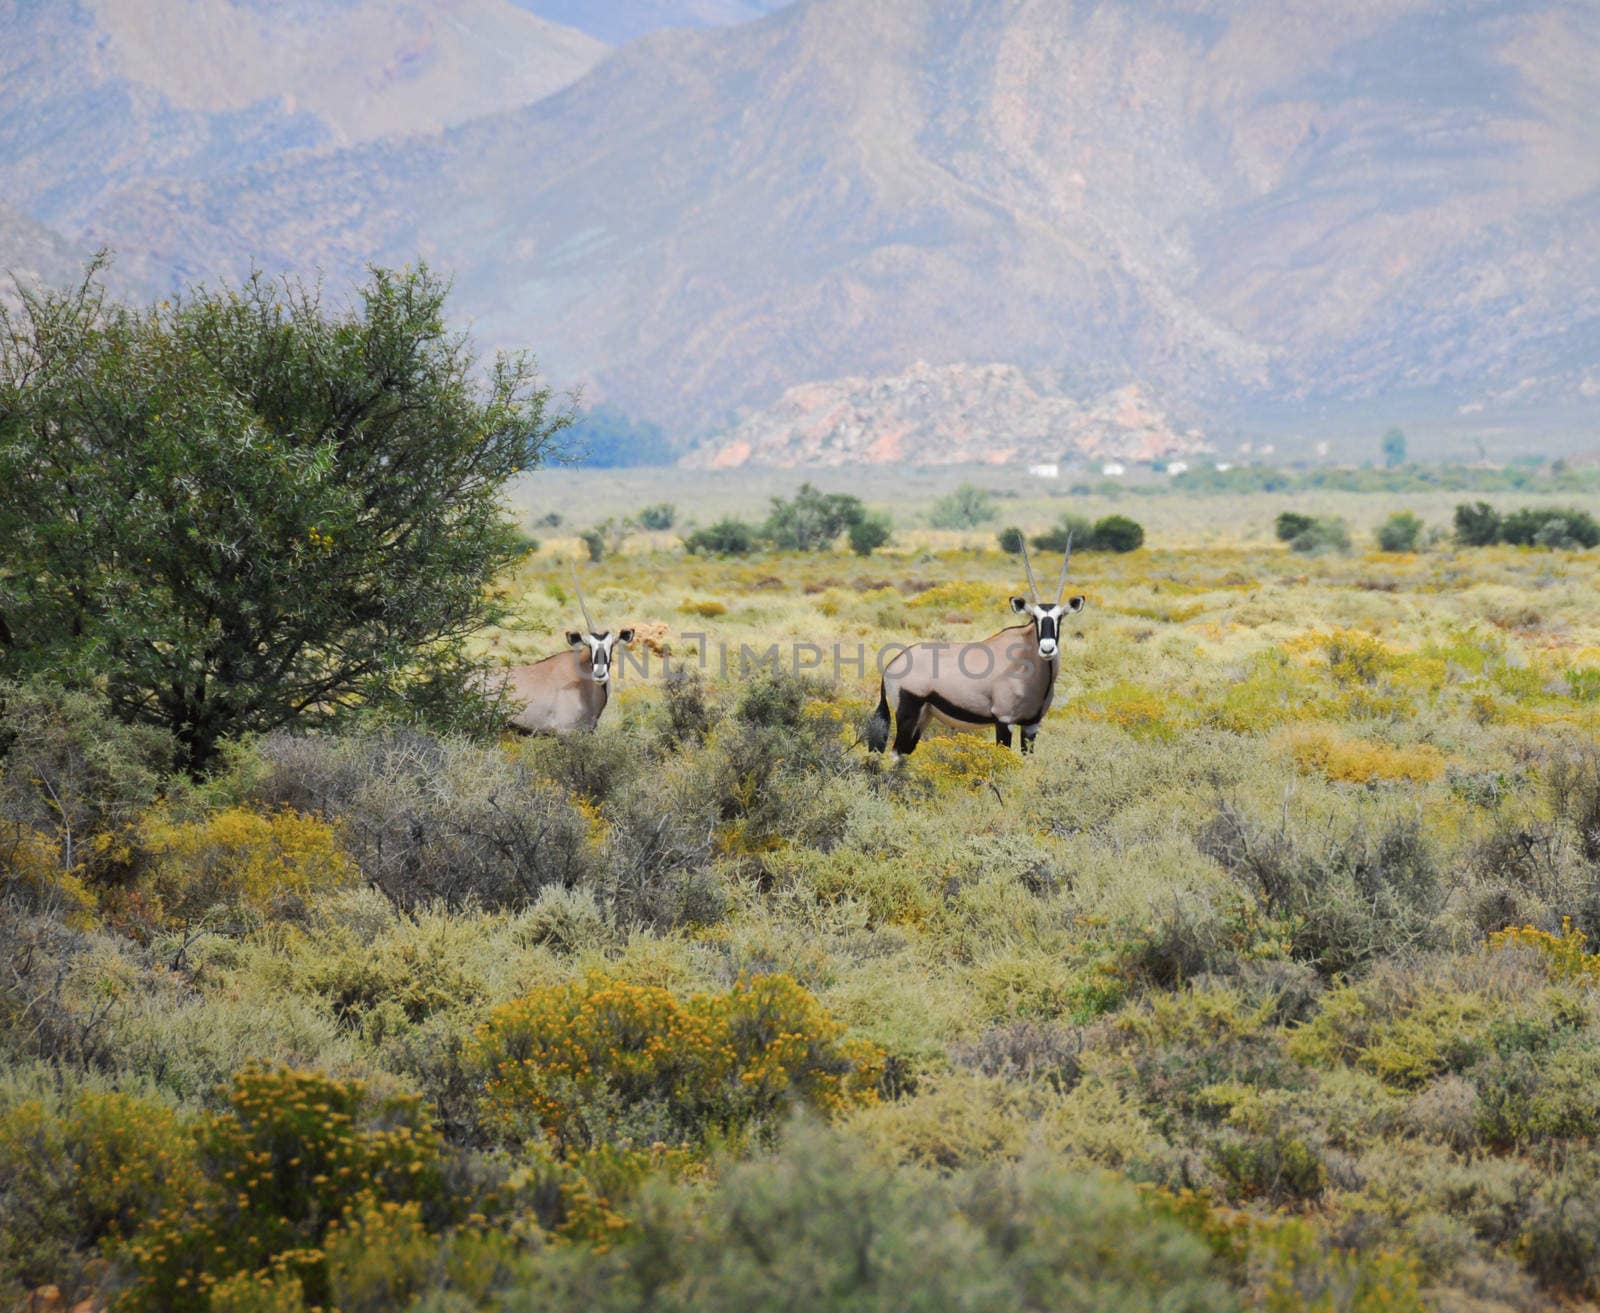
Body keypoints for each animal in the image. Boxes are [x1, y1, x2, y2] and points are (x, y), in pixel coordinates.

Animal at [864, 534, 1088, 758]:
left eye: (1060, 617)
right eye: (1034, 617)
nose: (1047, 649)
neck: (1026, 658)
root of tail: (892, 664)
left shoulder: (1031, 724)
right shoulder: (1004, 720)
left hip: (923, 716)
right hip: (908, 714)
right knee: (895, 753)